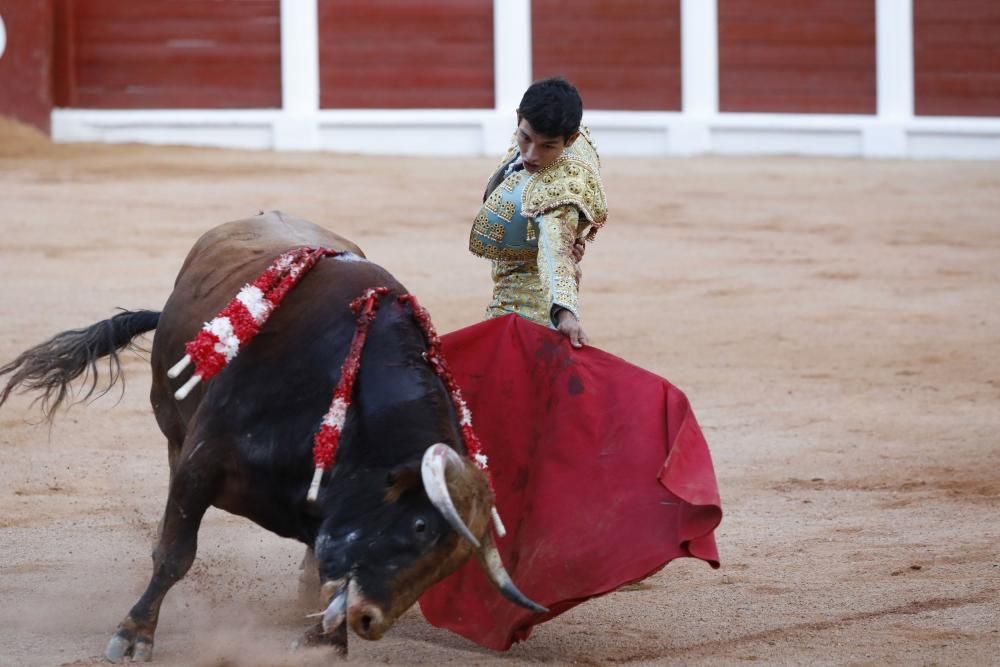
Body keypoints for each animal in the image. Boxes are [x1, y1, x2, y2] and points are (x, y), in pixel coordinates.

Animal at [0, 214, 544, 664]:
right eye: (420, 526)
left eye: (452, 564)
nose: (368, 621)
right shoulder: (201, 463)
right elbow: (177, 554)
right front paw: (133, 635)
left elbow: (326, 577)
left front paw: (325, 645)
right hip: (172, 428)